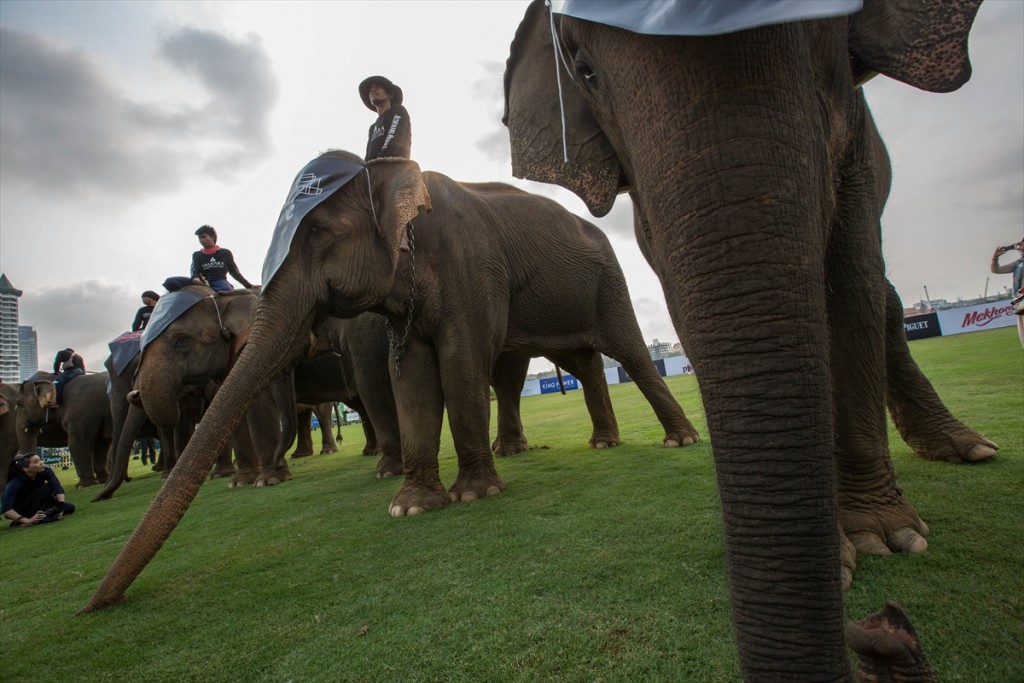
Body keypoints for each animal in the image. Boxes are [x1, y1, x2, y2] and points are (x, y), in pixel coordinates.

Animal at [81, 153, 704, 614]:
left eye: (319, 232)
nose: (90, 608)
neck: (391, 180)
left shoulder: (469, 266)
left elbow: (459, 363)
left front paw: (473, 494)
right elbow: (412, 376)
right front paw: (412, 506)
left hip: (608, 279)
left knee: (629, 352)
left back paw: (680, 440)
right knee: (581, 360)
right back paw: (602, 442)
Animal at [499, 1, 987, 683]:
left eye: (827, 23)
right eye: (586, 71)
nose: (882, 626)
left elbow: (850, 278)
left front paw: (885, 540)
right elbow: (686, 299)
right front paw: (847, 546)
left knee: (881, 294)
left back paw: (967, 451)